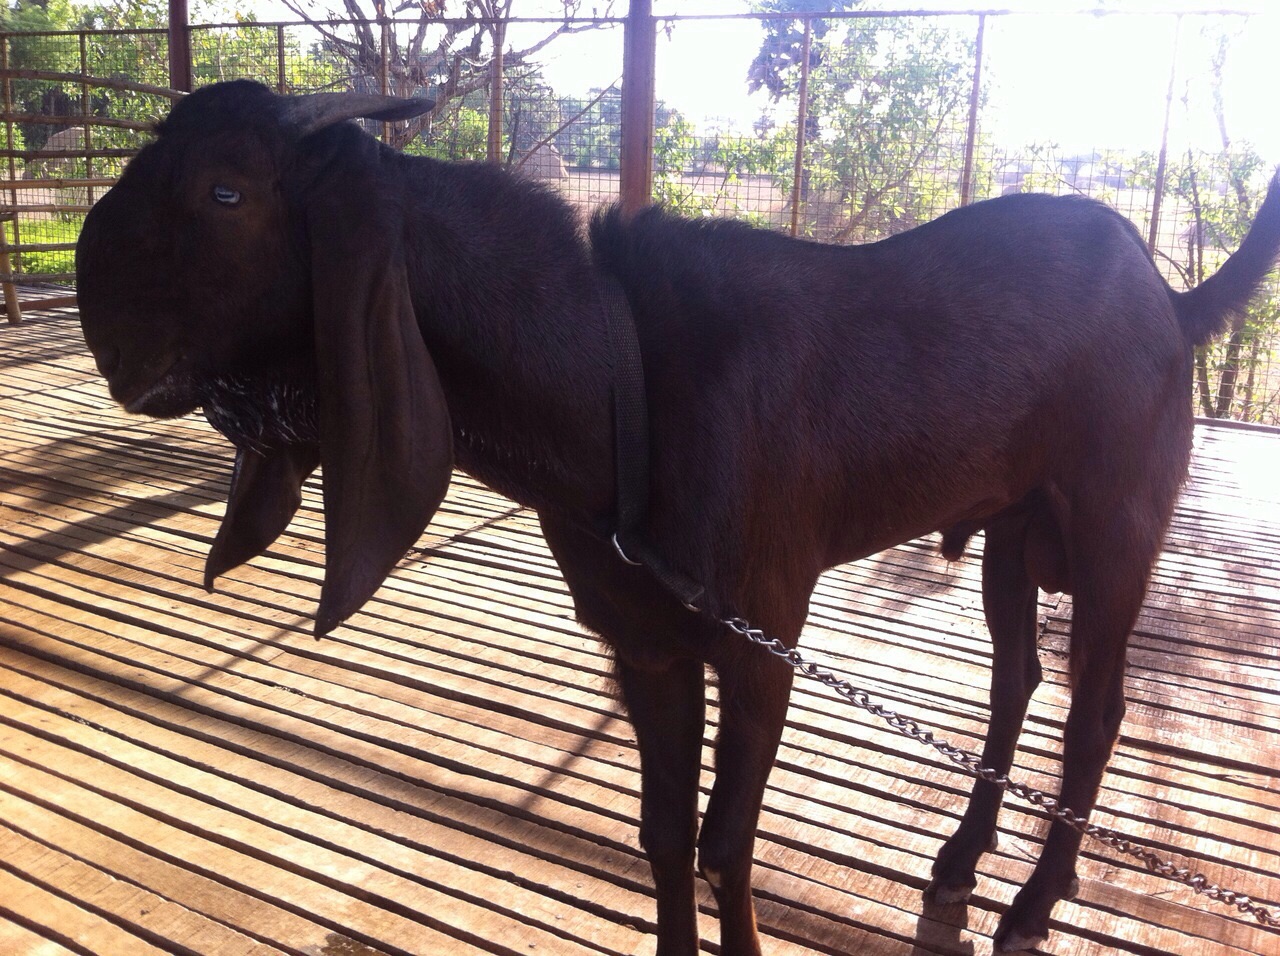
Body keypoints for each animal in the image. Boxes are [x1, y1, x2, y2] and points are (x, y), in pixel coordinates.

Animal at [75, 80, 1280, 954]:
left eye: (226, 194)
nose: (106, 335)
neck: (620, 374)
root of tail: (1168, 300)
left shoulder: (761, 636)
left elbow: (724, 841)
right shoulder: (647, 641)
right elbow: (662, 837)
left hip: (1118, 519)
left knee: (1096, 708)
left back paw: (1032, 901)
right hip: (1010, 525)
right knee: (1014, 676)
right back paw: (957, 857)